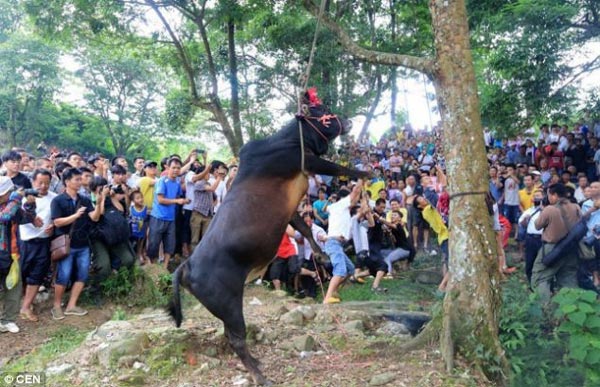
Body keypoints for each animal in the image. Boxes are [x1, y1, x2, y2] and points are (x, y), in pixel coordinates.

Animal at [166, 100, 368, 384]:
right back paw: (260, 376)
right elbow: (339, 168)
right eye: (322, 113)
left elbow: (305, 228)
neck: (289, 139)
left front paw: (322, 256)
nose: (346, 120)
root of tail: (185, 266)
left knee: (230, 336)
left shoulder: (289, 211)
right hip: (229, 304)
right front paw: (367, 171)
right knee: (237, 339)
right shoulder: (305, 161)